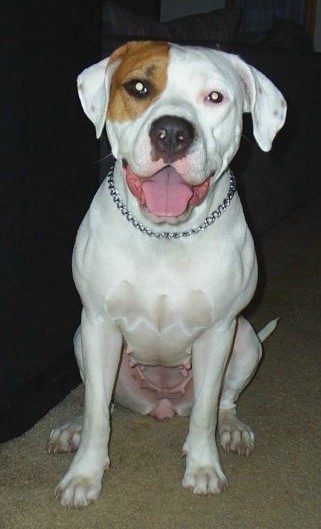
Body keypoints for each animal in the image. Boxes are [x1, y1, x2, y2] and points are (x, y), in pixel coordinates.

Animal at [47, 39, 284, 506]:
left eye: (215, 97)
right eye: (139, 87)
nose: (172, 132)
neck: (165, 235)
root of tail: (163, 405)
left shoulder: (218, 333)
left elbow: (206, 412)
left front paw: (204, 468)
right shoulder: (98, 324)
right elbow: (97, 413)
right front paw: (84, 475)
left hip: (246, 340)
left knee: (225, 402)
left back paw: (232, 430)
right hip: (82, 340)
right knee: (100, 403)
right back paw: (73, 430)